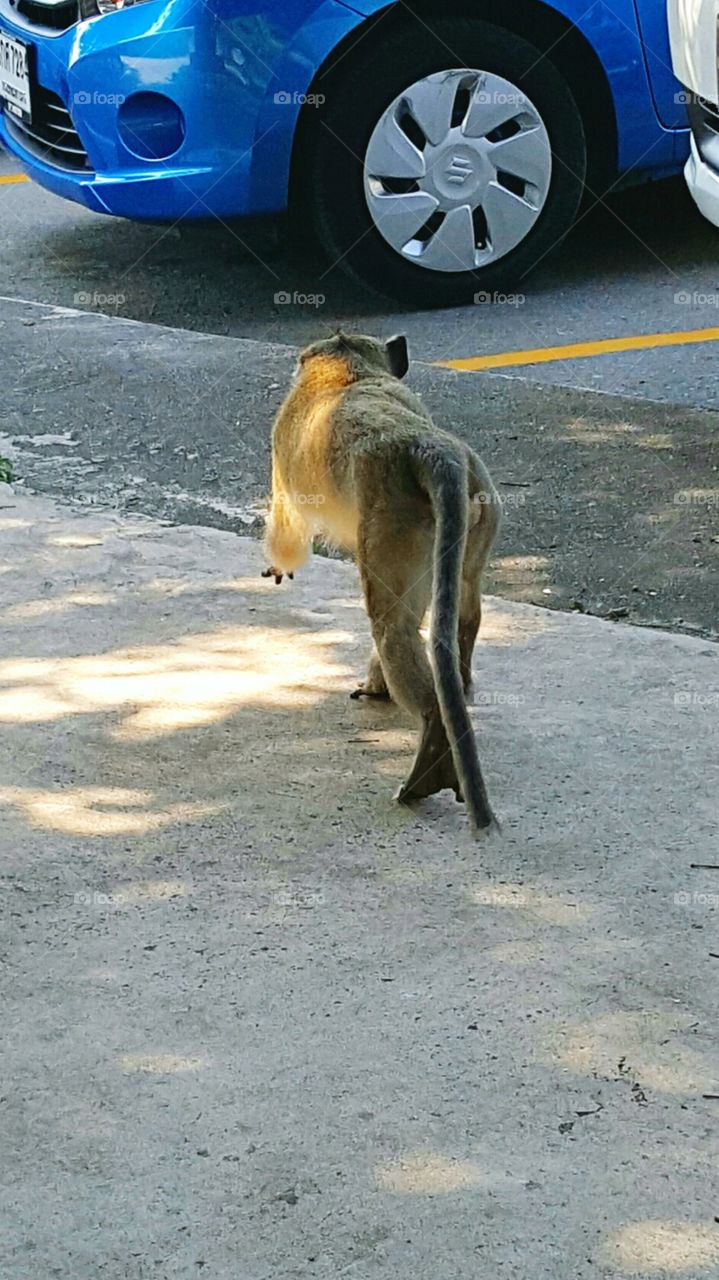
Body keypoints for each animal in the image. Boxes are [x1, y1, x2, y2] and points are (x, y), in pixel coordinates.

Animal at [262, 331, 501, 834]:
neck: (348, 372)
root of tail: (428, 447)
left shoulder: (281, 442)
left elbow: (287, 523)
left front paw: (279, 564)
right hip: (480, 506)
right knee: (461, 604)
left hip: (393, 522)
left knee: (392, 625)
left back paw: (430, 731)